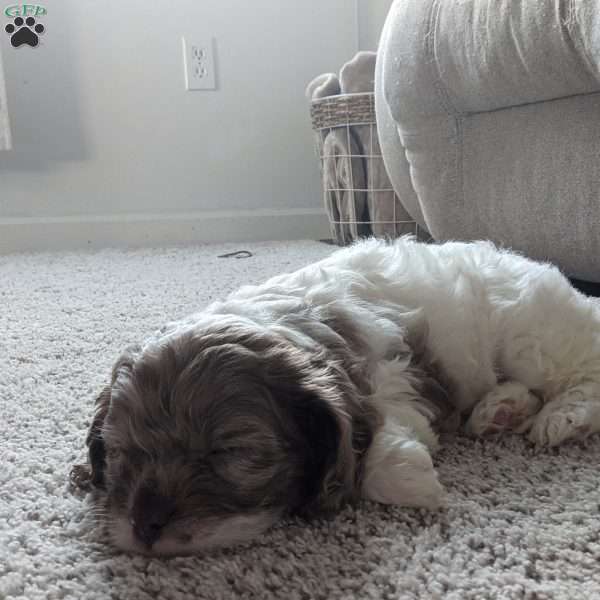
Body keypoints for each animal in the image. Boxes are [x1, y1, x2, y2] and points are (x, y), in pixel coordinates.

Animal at [72, 237, 600, 556]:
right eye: (119, 453)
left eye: (229, 451)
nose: (144, 527)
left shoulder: (390, 373)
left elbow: (378, 446)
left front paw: (413, 481)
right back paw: (500, 411)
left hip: (530, 334)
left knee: (582, 368)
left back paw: (564, 417)